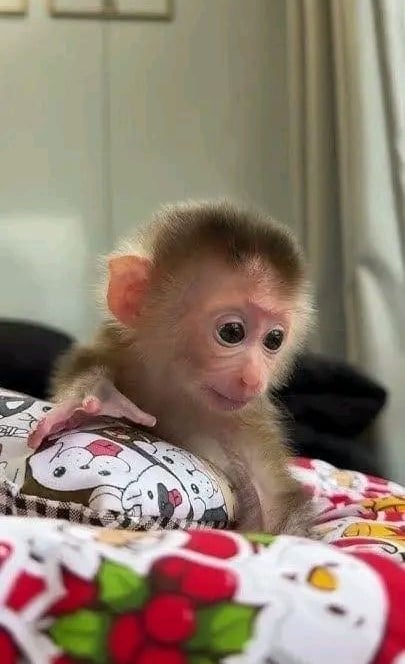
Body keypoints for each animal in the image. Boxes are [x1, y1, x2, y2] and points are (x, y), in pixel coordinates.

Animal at [27, 200, 315, 535]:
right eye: (232, 332)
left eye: (274, 339)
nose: (254, 379)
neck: (177, 394)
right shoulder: (119, 348)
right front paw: (93, 397)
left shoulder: (249, 426)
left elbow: (275, 504)